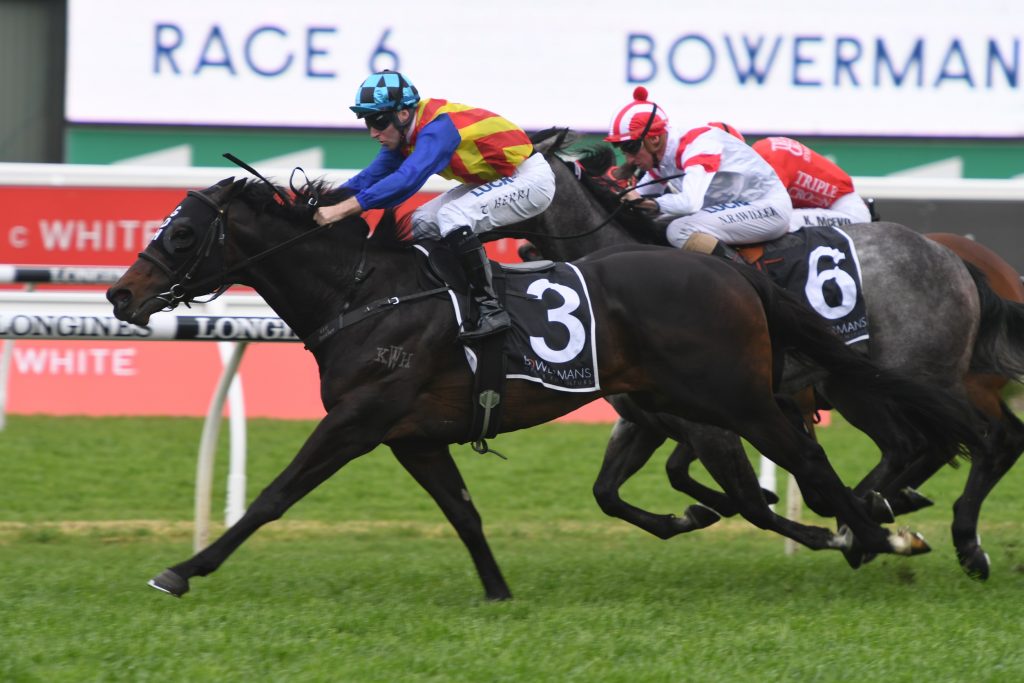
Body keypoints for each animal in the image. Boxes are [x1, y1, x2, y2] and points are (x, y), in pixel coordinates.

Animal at [106, 176, 979, 600]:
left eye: (180, 232)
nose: (119, 294)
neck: (368, 295)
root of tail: (725, 270)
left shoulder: (359, 419)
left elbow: (274, 495)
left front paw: (183, 568)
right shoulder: (412, 434)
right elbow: (464, 510)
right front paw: (497, 589)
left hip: (737, 398)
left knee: (814, 460)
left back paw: (879, 534)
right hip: (706, 399)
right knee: (810, 469)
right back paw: (871, 528)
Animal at [495, 129, 1024, 578]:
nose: (520, 252)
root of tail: (955, 259)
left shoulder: (718, 416)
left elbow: (722, 485)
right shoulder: (648, 418)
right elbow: (611, 490)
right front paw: (704, 511)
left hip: (901, 380)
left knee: (961, 440)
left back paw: (916, 529)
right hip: (878, 383)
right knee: (946, 442)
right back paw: (907, 521)